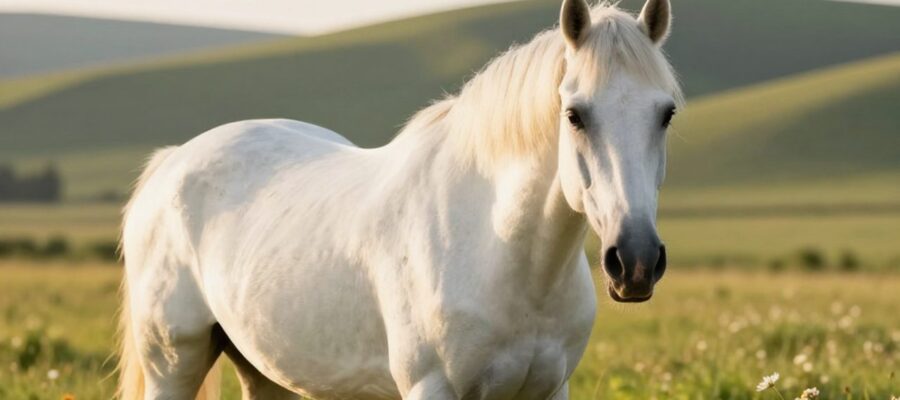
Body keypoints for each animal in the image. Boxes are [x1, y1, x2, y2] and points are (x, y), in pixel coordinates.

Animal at [117, 0, 683, 398]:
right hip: (172, 364)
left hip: (265, 370)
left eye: (667, 113)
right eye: (574, 115)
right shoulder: (431, 388)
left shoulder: (548, 390)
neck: (498, 251)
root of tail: (173, 160)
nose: (635, 262)